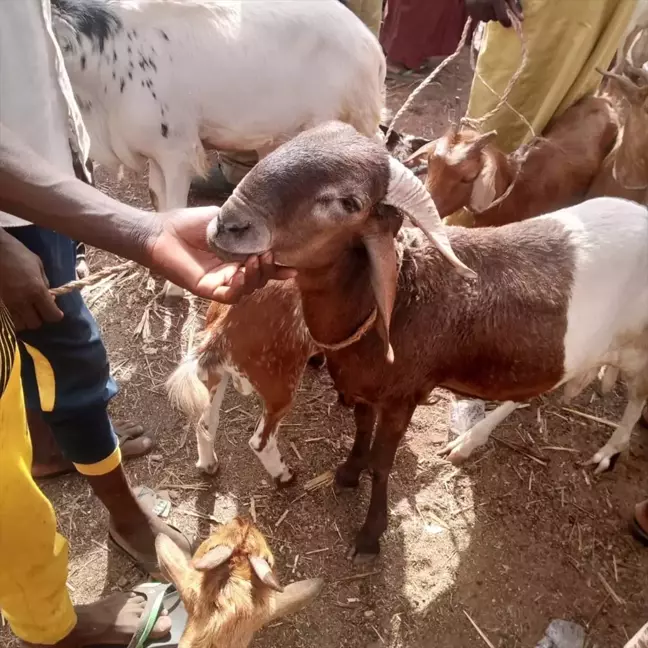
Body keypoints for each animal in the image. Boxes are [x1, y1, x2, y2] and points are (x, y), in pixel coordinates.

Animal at [53, 0, 384, 298]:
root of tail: (372, 47)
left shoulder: (176, 150)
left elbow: (173, 204)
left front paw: (174, 288)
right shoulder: (156, 151)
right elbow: (158, 199)